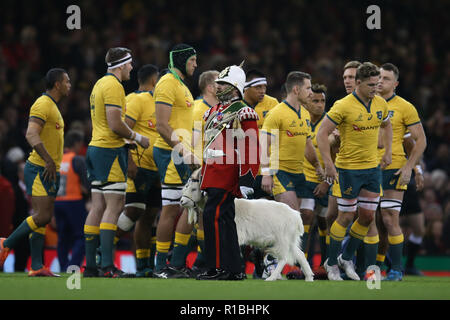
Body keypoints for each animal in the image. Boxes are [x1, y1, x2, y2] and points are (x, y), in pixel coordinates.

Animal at [181, 169, 314, 282]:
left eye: (194, 189)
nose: (182, 201)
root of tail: (296, 215)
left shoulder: (234, 233)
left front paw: (230, 273)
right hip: (290, 240)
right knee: (300, 255)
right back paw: (309, 277)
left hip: (282, 239)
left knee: (284, 258)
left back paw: (272, 277)